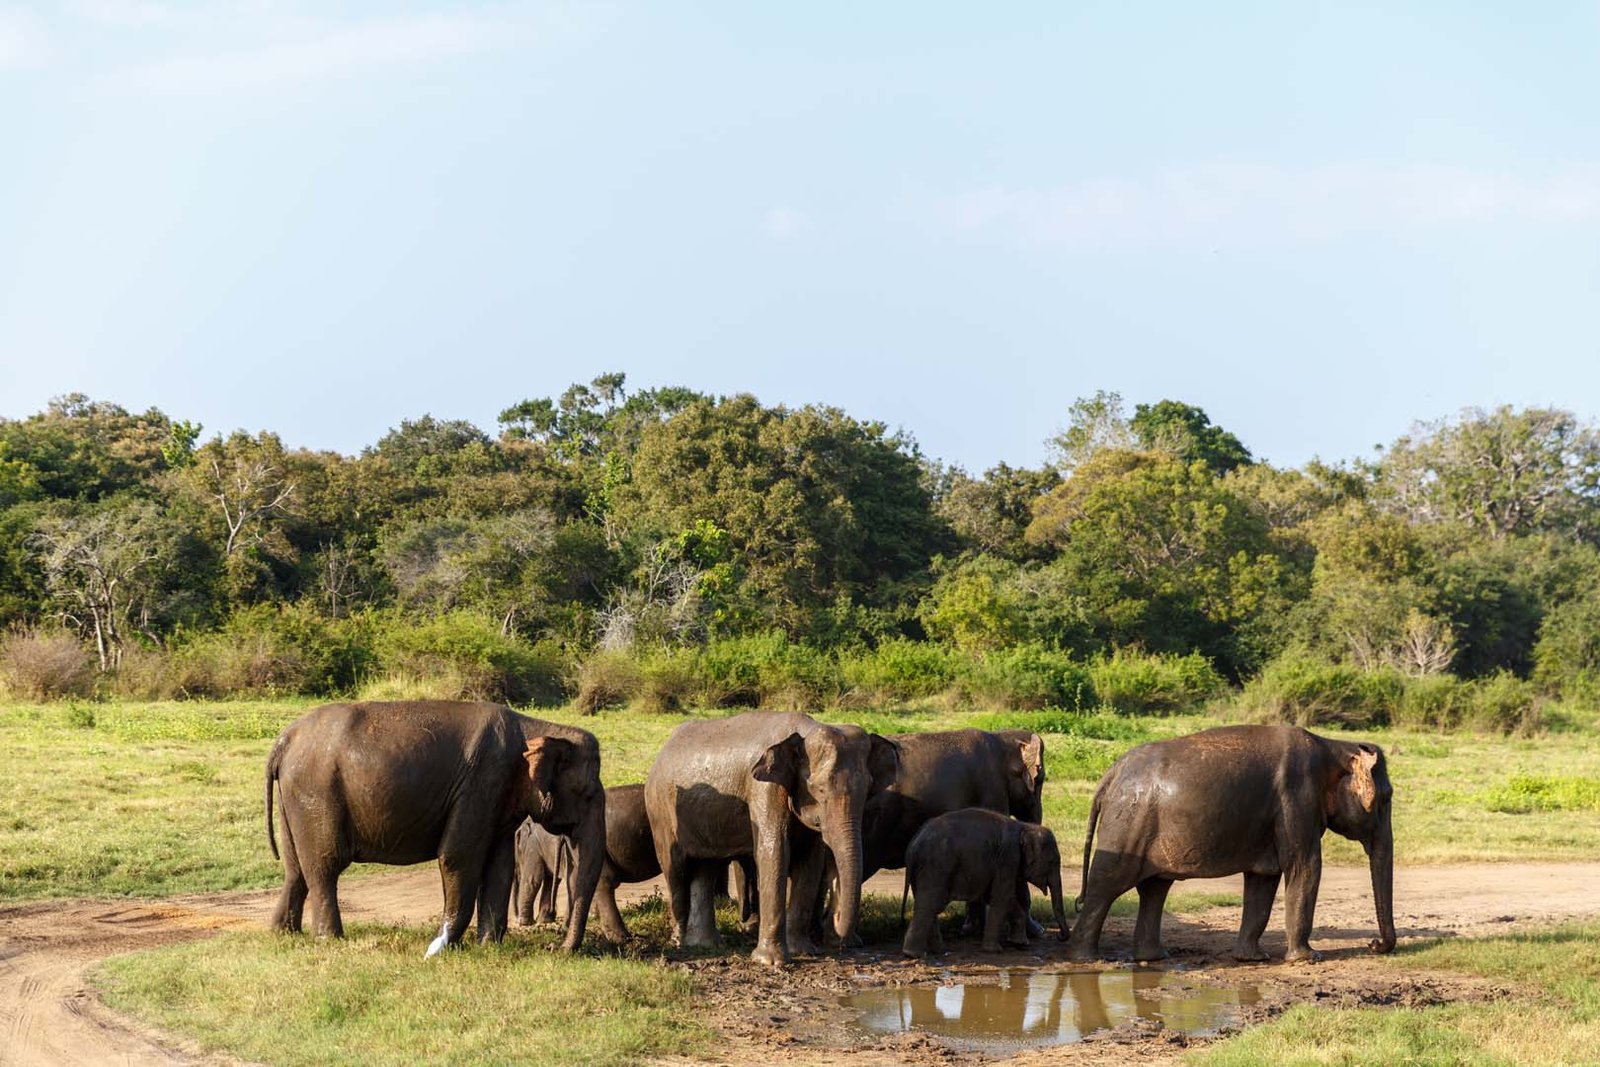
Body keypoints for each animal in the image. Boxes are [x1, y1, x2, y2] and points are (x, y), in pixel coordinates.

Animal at [264, 700, 606, 952]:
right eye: (587, 794)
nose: (556, 948)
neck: (535, 726)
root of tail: (284, 740)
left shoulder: (495, 799)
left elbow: (500, 865)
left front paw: (488, 948)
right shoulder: (480, 783)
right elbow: (458, 856)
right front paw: (441, 947)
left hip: (293, 800)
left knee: (296, 869)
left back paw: (284, 934)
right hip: (316, 794)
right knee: (325, 866)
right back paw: (330, 940)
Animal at [644, 711, 899, 967]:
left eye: (868, 788)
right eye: (819, 790)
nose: (837, 925)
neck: (805, 731)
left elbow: (810, 861)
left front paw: (804, 951)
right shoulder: (764, 789)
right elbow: (774, 851)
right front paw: (770, 962)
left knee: (705, 868)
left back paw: (706, 945)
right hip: (660, 813)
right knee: (675, 869)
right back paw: (679, 941)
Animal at [899, 808, 1069, 957]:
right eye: (1053, 862)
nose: (1060, 937)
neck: (1025, 826)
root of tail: (912, 847)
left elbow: (998, 896)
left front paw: (1020, 944)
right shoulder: (1008, 858)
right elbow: (1001, 897)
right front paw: (994, 951)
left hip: (924, 870)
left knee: (929, 904)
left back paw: (939, 951)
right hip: (936, 867)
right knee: (930, 904)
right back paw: (914, 954)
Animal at [1068, 724, 1396, 964]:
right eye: (1387, 797)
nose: (1373, 944)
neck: (1334, 745)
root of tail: (1111, 773)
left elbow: (1263, 879)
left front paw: (1253, 959)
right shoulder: (1297, 800)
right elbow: (1305, 867)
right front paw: (1308, 958)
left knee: (1155, 888)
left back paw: (1154, 956)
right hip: (1127, 825)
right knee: (1106, 885)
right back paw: (1087, 959)